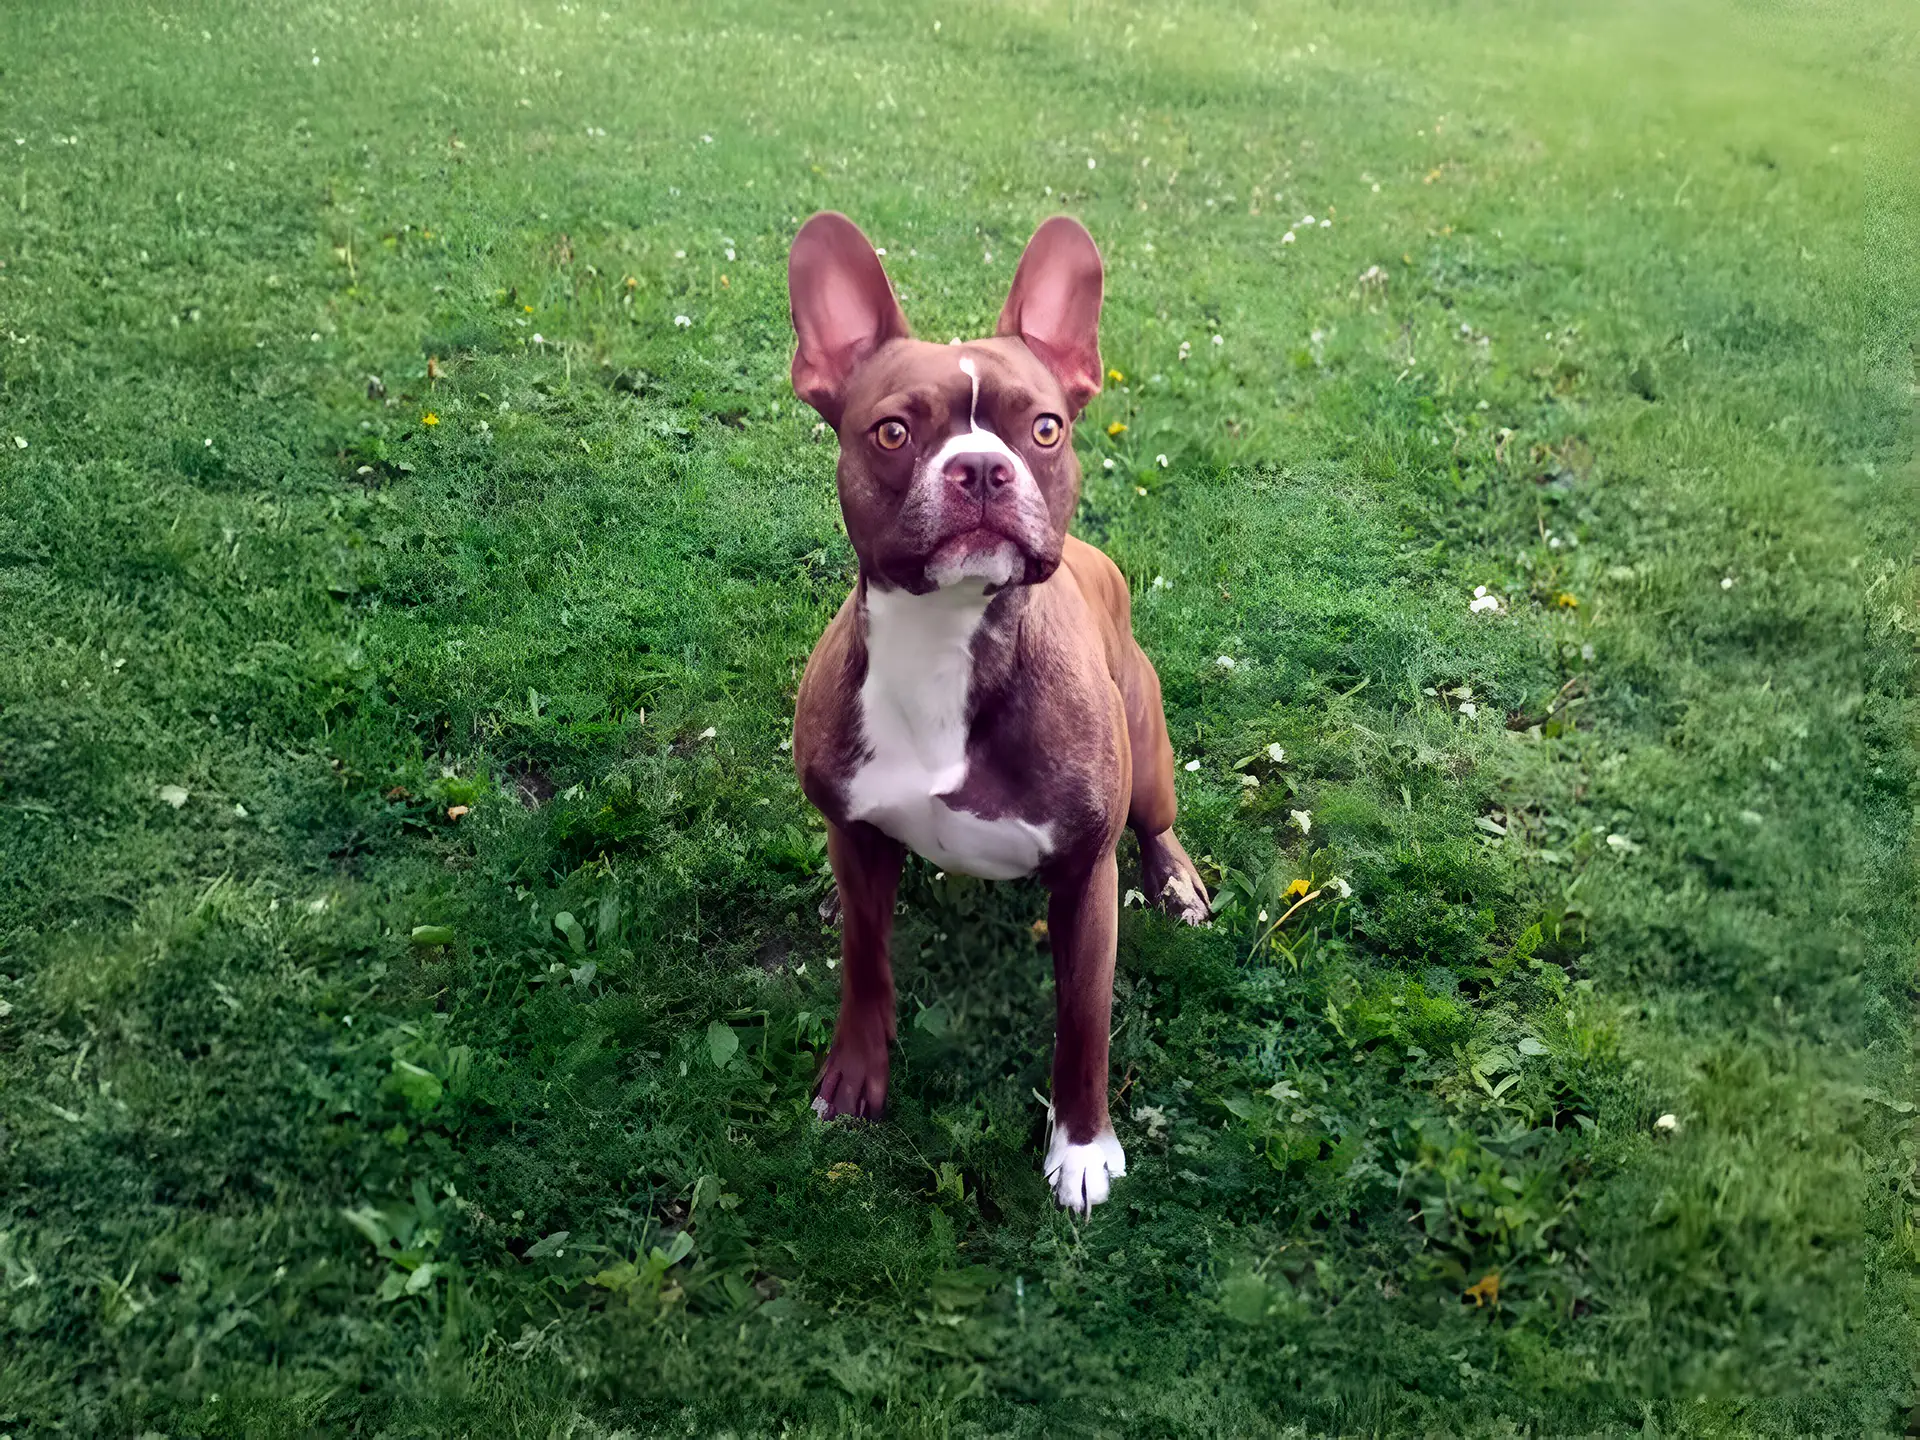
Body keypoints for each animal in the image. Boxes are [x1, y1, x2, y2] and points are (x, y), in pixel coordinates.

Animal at [787, 208, 1205, 1213]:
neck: (947, 637)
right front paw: (853, 1079)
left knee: (1157, 823)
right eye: (893, 431)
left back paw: (1177, 882)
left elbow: (1082, 1022)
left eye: (1045, 427)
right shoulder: (854, 829)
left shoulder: (1086, 876)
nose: (981, 466)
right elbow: (865, 963)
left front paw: (1083, 1147)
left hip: (1150, 762)